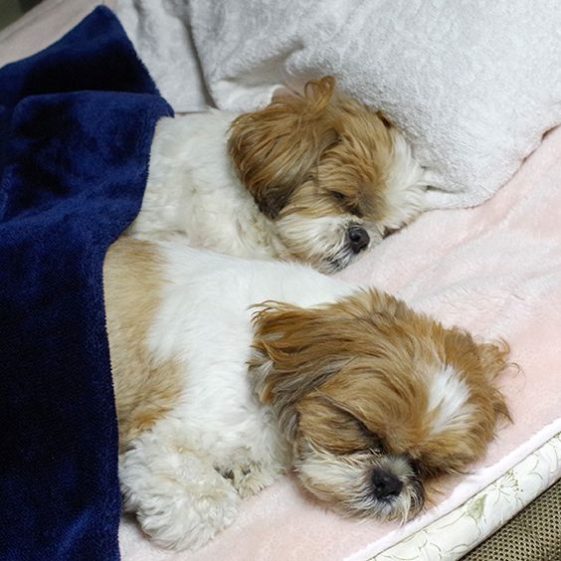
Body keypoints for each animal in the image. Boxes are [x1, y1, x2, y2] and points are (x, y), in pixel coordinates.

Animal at [103, 234, 510, 548]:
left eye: (429, 467)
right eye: (360, 427)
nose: (387, 482)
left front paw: (244, 472)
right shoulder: (167, 433)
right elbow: (200, 499)